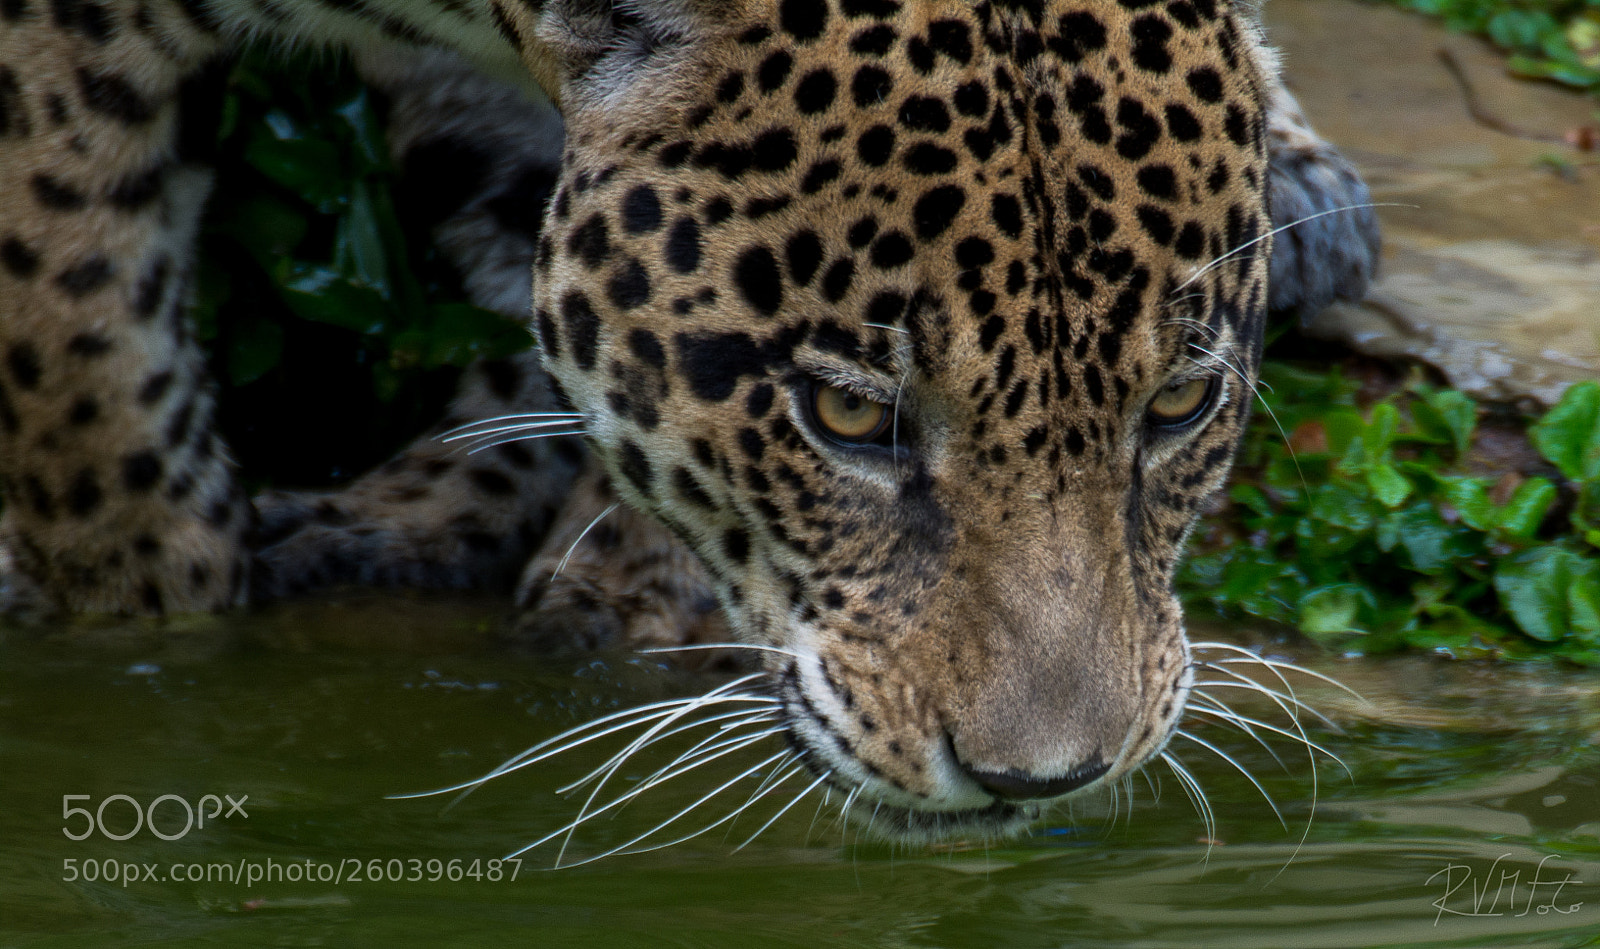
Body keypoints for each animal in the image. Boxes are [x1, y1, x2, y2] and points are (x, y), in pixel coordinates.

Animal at [0, 0, 1379, 840]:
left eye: (1180, 403)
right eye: (846, 415)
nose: (1033, 780)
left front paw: (633, 596)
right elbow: (79, 364)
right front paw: (136, 673)